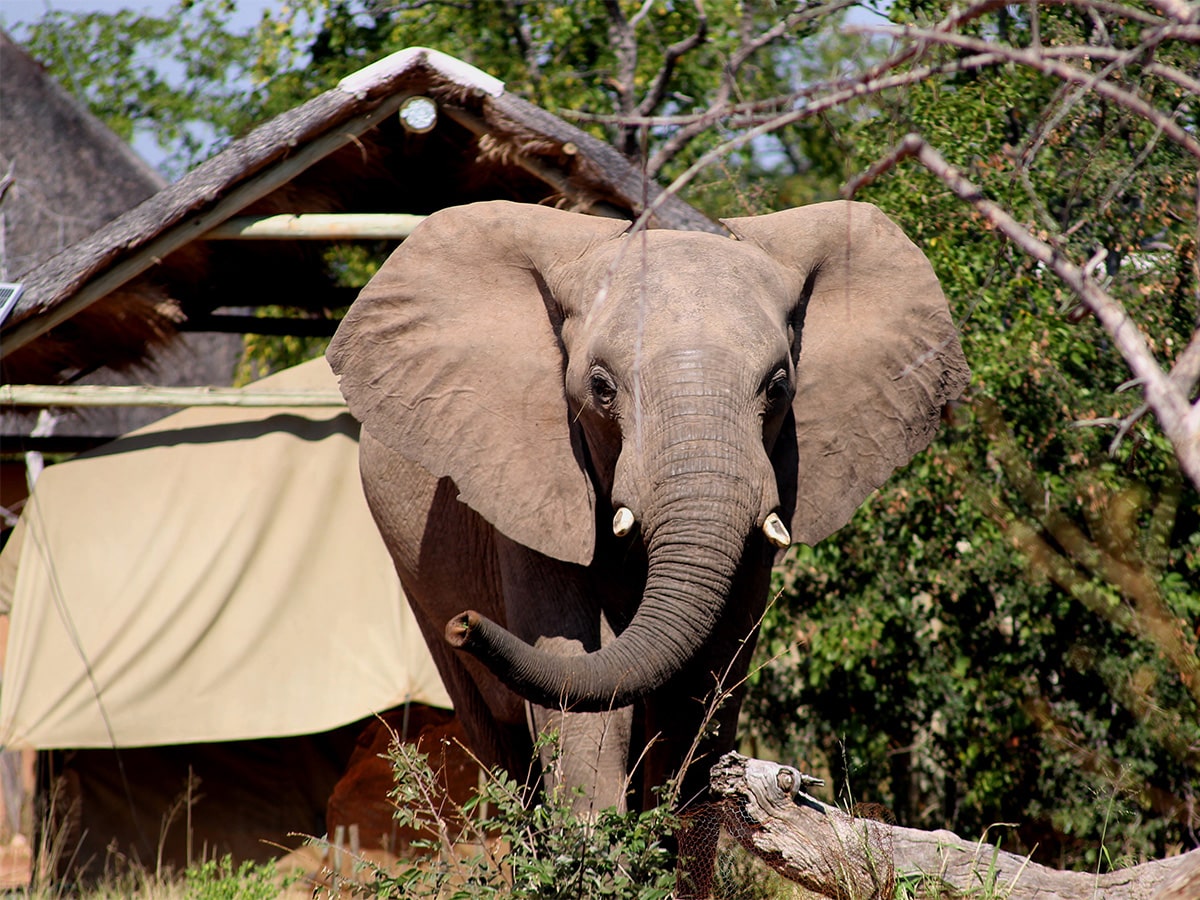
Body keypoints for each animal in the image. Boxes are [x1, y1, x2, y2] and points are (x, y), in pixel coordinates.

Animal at [326, 199, 969, 822]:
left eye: (778, 388)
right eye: (602, 388)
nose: (467, 623)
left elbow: (704, 688)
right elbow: (579, 683)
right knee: (502, 745)